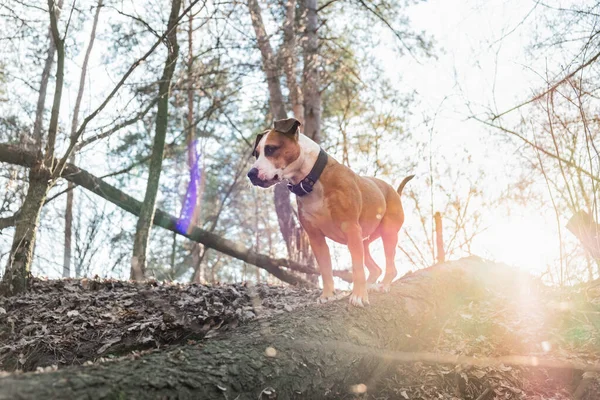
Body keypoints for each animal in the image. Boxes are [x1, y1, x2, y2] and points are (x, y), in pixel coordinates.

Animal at [245, 118, 412, 306]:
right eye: (256, 154)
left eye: (271, 149)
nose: (251, 174)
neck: (312, 179)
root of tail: (394, 191)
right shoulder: (316, 237)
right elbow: (325, 269)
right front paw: (327, 295)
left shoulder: (351, 228)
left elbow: (357, 267)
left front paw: (359, 296)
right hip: (365, 240)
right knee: (375, 268)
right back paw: (371, 285)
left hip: (387, 233)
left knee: (390, 266)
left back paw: (383, 285)